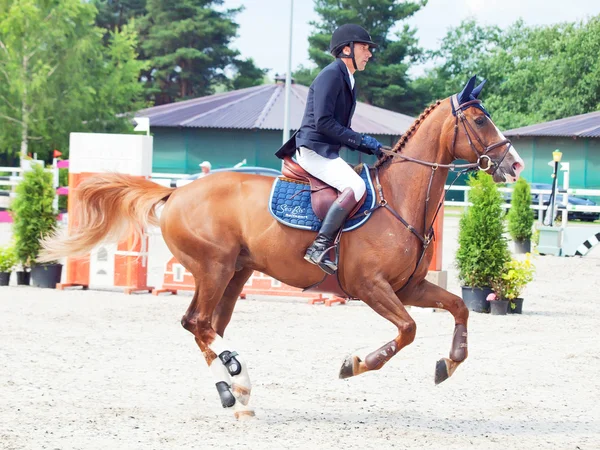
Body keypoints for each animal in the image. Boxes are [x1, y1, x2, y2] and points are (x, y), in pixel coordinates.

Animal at [42, 76, 524, 418]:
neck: (400, 198)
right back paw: (240, 377)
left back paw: (231, 388)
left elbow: (459, 307)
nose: (515, 165)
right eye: (479, 120)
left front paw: (450, 363)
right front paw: (355, 364)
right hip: (214, 268)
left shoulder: (410, 288)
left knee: (203, 324)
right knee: (197, 322)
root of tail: (175, 193)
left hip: (234, 273)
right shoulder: (371, 287)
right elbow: (407, 330)